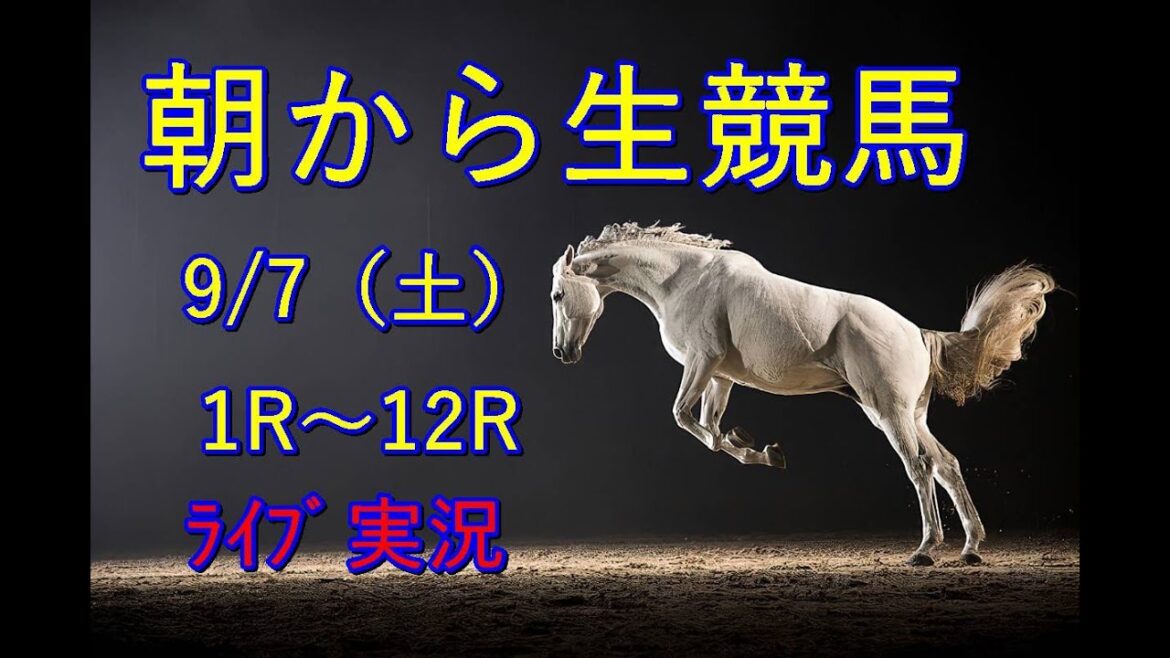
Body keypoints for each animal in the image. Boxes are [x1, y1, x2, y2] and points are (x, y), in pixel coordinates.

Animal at [549, 222, 1056, 566]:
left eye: (557, 295)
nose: (561, 352)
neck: (684, 279)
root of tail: (917, 332)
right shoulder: (720, 376)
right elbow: (709, 429)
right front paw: (761, 449)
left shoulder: (702, 362)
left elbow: (683, 417)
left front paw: (756, 447)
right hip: (905, 415)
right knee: (947, 464)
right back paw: (971, 547)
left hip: (890, 412)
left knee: (920, 466)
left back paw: (926, 550)